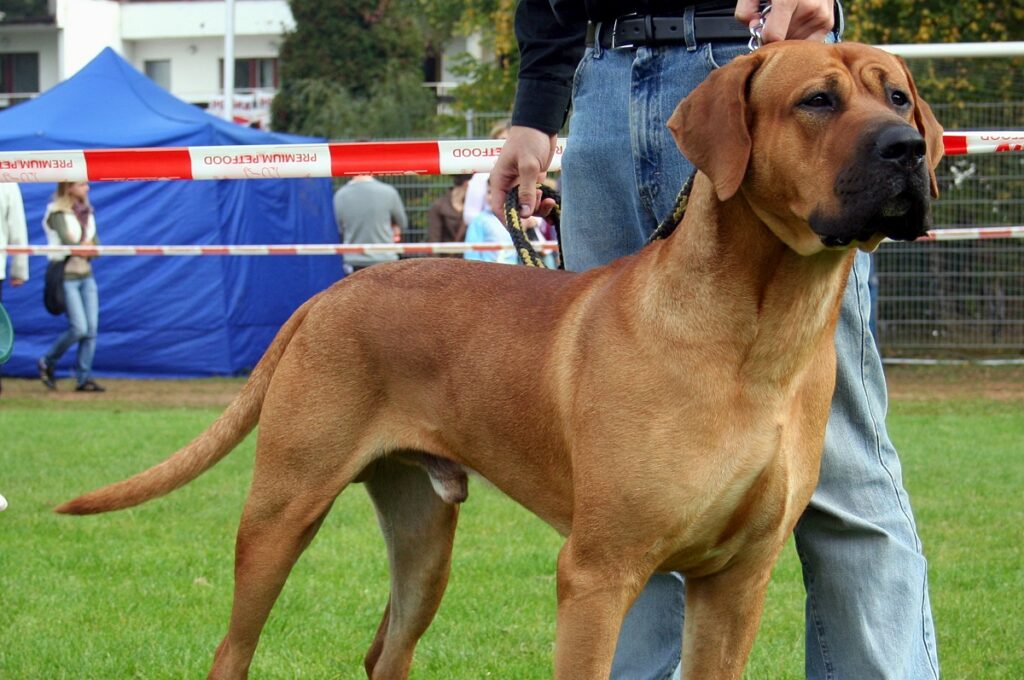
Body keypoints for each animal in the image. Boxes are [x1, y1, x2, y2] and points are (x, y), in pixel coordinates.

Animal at [56, 43, 937, 680]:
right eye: (817, 100)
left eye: (897, 96)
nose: (908, 147)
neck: (762, 331)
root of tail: (333, 292)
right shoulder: (597, 574)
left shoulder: (736, 584)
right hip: (282, 511)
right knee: (233, 649)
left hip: (423, 531)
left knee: (386, 651)